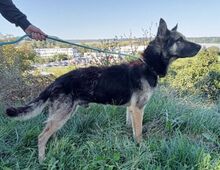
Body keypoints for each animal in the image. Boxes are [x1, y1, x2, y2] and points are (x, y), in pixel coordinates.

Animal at [5, 18, 201, 162]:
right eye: (179, 40)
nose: (200, 46)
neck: (148, 65)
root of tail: (57, 81)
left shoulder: (131, 110)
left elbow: (131, 128)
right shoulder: (138, 109)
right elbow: (138, 133)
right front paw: (141, 148)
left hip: (63, 115)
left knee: (48, 133)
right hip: (63, 114)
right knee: (41, 137)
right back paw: (42, 160)